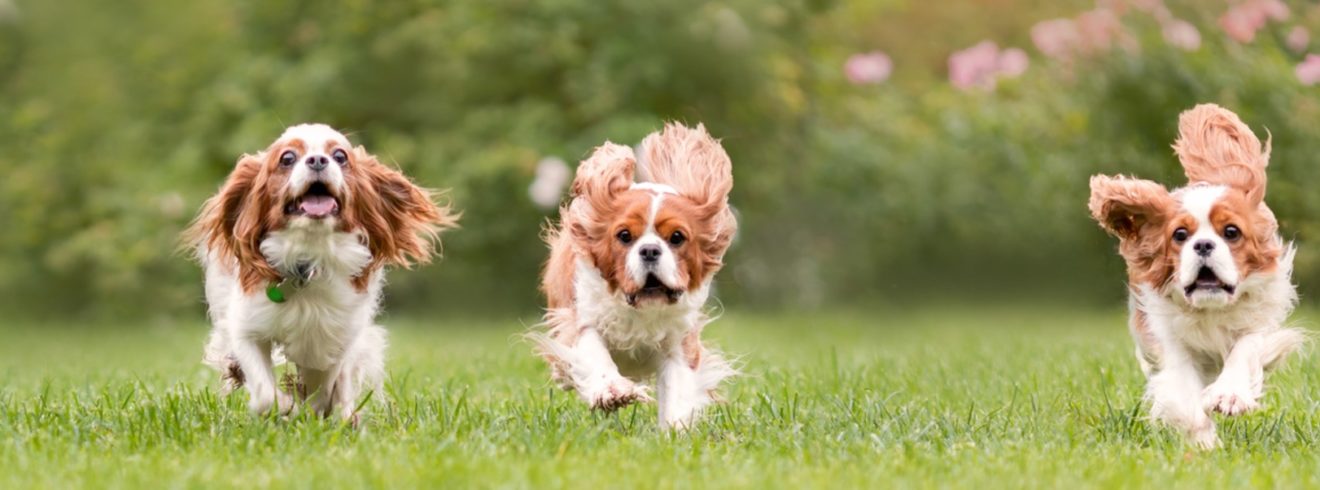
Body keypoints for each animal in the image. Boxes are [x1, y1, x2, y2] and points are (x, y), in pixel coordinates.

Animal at [183, 123, 456, 422]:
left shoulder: (332, 336)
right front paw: (286, 407)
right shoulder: (246, 327)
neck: (309, 257)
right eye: (287, 158)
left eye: (340, 156)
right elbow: (265, 392)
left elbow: (323, 386)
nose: (317, 160)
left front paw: (314, 412)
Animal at [535, 122, 744, 430]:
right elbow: (593, 353)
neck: (640, 308)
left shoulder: (678, 342)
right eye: (624, 236)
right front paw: (612, 392)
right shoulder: (581, 319)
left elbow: (676, 386)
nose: (649, 250)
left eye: (677, 237)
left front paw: (675, 429)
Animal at [1092, 105, 1298, 451]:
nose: (1202, 245)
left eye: (1231, 232)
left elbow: (1245, 350)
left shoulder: (1259, 324)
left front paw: (1229, 396)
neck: (1211, 311)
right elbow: (1183, 394)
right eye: (1180, 235)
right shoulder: (1170, 342)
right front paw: (1205, 443)